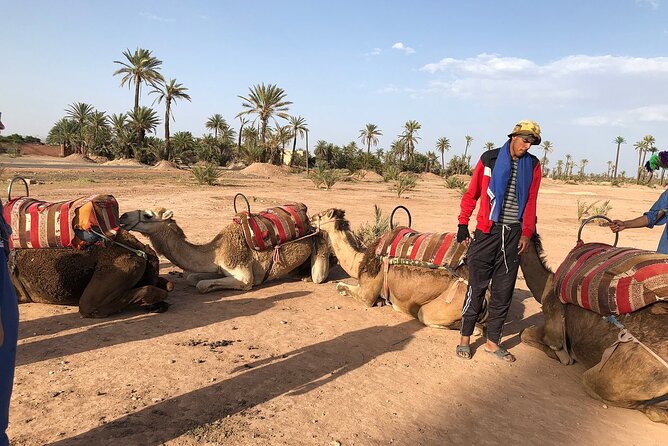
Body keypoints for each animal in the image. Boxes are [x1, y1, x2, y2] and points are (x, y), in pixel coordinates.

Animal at [119, 207, 332, 294]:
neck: (216, 251)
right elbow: (192, 278)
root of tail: (312, 226)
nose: (123, 216)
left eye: (148, 215)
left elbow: (202, 285)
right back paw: (300, 274)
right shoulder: (218, 268)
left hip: (320, 243)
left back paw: (308, 277)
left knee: (319, 275)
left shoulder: (243, 274)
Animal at [310, 207, 488, 330]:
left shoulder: (367, 293)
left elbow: (341, 287)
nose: (311, 218)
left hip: (453, 300)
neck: (360, 260)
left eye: (321, 215)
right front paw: (382, 301)